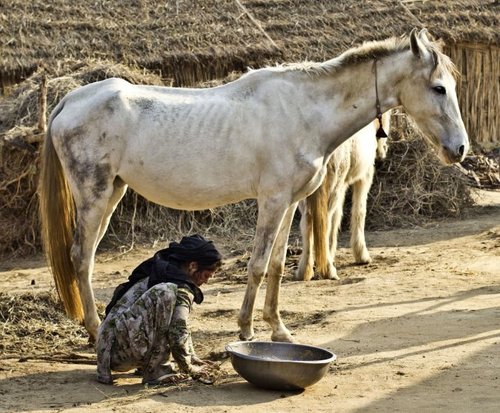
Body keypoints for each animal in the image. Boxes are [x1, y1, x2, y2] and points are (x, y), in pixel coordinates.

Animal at [294, 112, 392, 280]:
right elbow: (359, 211)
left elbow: (337, 217)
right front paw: (361, 255)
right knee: (324, 219)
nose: (383, 151)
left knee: (307, 222)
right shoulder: (364, 176)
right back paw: (328, 270)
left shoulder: (342, 184)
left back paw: (304, 271)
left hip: (307, 190)